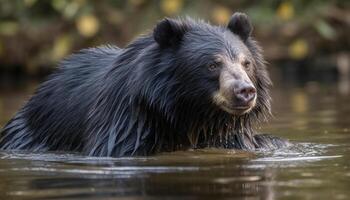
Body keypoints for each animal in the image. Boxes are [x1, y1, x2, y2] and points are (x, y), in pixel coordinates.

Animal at [0, 12, 290, 157]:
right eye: (212, 65)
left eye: (246, 63)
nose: (245, 91)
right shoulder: (128, 118)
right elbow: (118, 147)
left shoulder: (227, 133)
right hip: (29, 134)